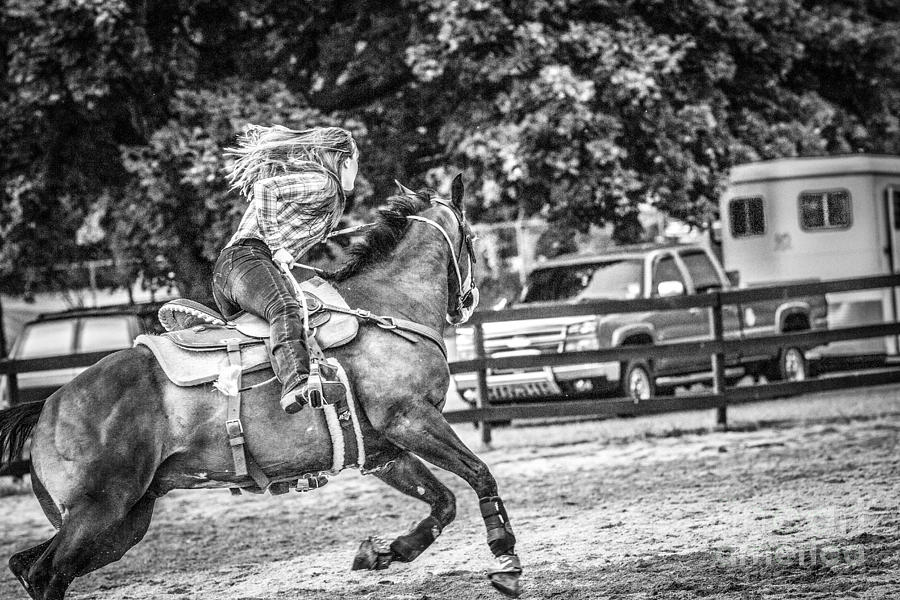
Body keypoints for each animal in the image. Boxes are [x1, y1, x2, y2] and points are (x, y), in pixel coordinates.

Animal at [0, 177, 520, 600]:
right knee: (45, 573)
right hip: (98, 513)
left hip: (122, 522)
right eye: (473, 239)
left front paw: (384, 552)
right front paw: (506, 561)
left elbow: (443, 503)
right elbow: (480, 475)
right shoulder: (411, 419)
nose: (468, 302)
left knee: (29, 567)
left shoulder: (382, 450)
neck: (387, 307)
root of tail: (48, 406)